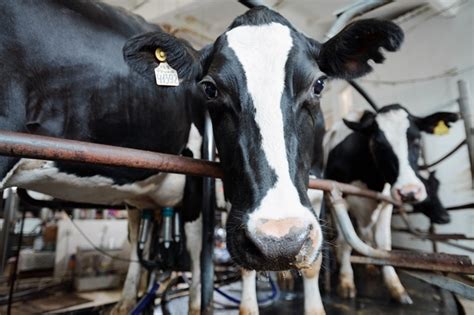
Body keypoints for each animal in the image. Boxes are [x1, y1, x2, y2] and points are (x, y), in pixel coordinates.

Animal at [324, 105, 458, 304]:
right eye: (379, 144)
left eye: (417, 139)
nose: (409, 191)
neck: (371, 178)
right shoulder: (337, 196)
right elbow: (346, 241)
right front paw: (346, 282)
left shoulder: (386, 203)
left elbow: (384, 245)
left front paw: (396, 287)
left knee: (366, 234)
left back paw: (371, 266)